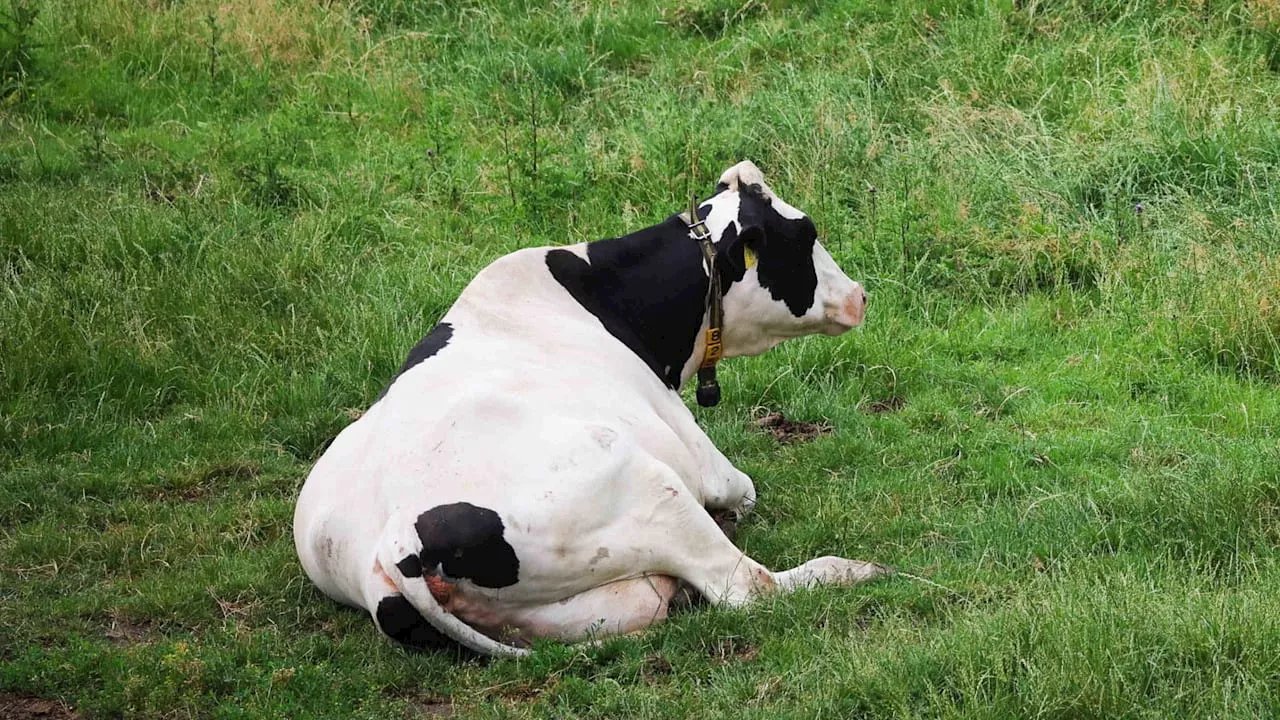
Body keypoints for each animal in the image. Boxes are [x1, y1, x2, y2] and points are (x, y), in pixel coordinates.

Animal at [293, 159, 885, 653]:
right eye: (806, 233)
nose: (860, 294)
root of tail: (397, 542)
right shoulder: (701, 458)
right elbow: (742, 490)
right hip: (649, 486)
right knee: (745, 586)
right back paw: (850, 570)